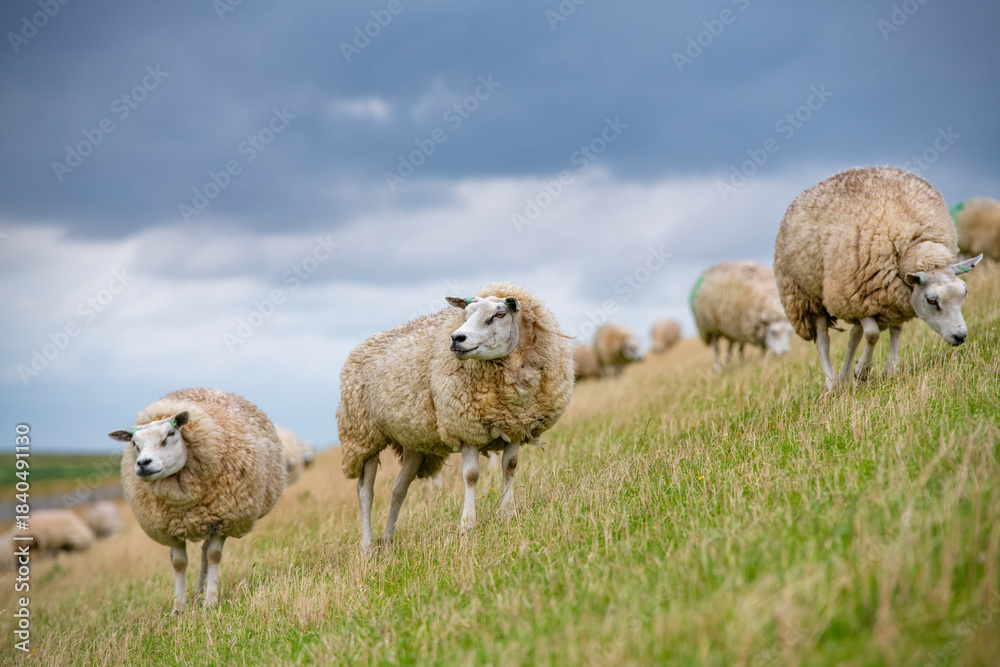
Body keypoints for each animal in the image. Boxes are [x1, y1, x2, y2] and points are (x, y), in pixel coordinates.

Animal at [108, 387, 286, 613]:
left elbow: (213, 556)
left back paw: (202, 593)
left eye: (170, 434)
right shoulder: (170, 527)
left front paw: (210, 602)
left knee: (205, 553)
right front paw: (178, 608)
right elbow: (178, 563)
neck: (184, 502)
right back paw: (196, 594)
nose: (143, 463)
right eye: (134, 443)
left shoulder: (222, 520)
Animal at [337, 282, 573, 552]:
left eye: (499, 314)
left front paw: (507, 513)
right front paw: (467, 524)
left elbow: (510, 467)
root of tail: (361, 345)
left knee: (399, 489)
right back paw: (367, 547)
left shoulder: (515, 424)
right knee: (365, 491)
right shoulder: (465, 428)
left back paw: (387, 539)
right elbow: (471, 476)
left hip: (413, 443)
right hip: (363, 435)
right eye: (466, 315)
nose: (456, 338)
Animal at [774, 167, 983, 390]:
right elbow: (872, 334)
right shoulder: (856, 294)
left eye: (964, 292)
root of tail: (802, 195)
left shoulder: (893, 299)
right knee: (824, 341)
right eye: (932, 301)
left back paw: (844, 377)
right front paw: (862, 371)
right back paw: (833, 382)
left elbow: (894, 330)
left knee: (854, 335)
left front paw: (890, 369)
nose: (960, 337)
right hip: (807, 298)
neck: (911, 246)